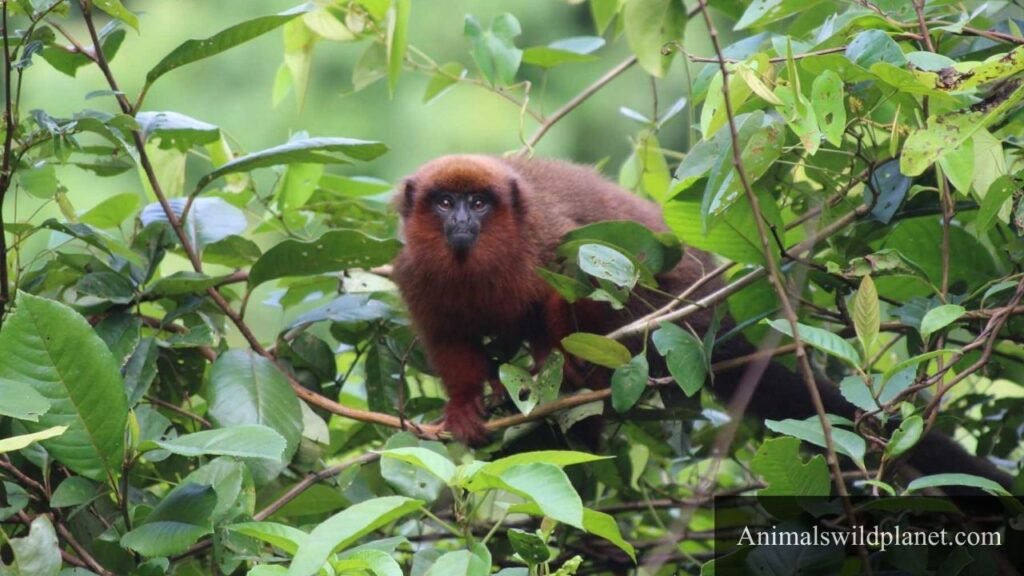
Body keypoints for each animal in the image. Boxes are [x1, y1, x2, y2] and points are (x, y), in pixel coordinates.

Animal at [391, 154, 1012, 488]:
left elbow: (576, 294)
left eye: (479, 202)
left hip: (679, 314)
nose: (462, 219)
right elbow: (449, 341)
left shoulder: (547, 244)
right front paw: (466, 406)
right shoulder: (416, 274)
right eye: (444, 202)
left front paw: (558, 368)